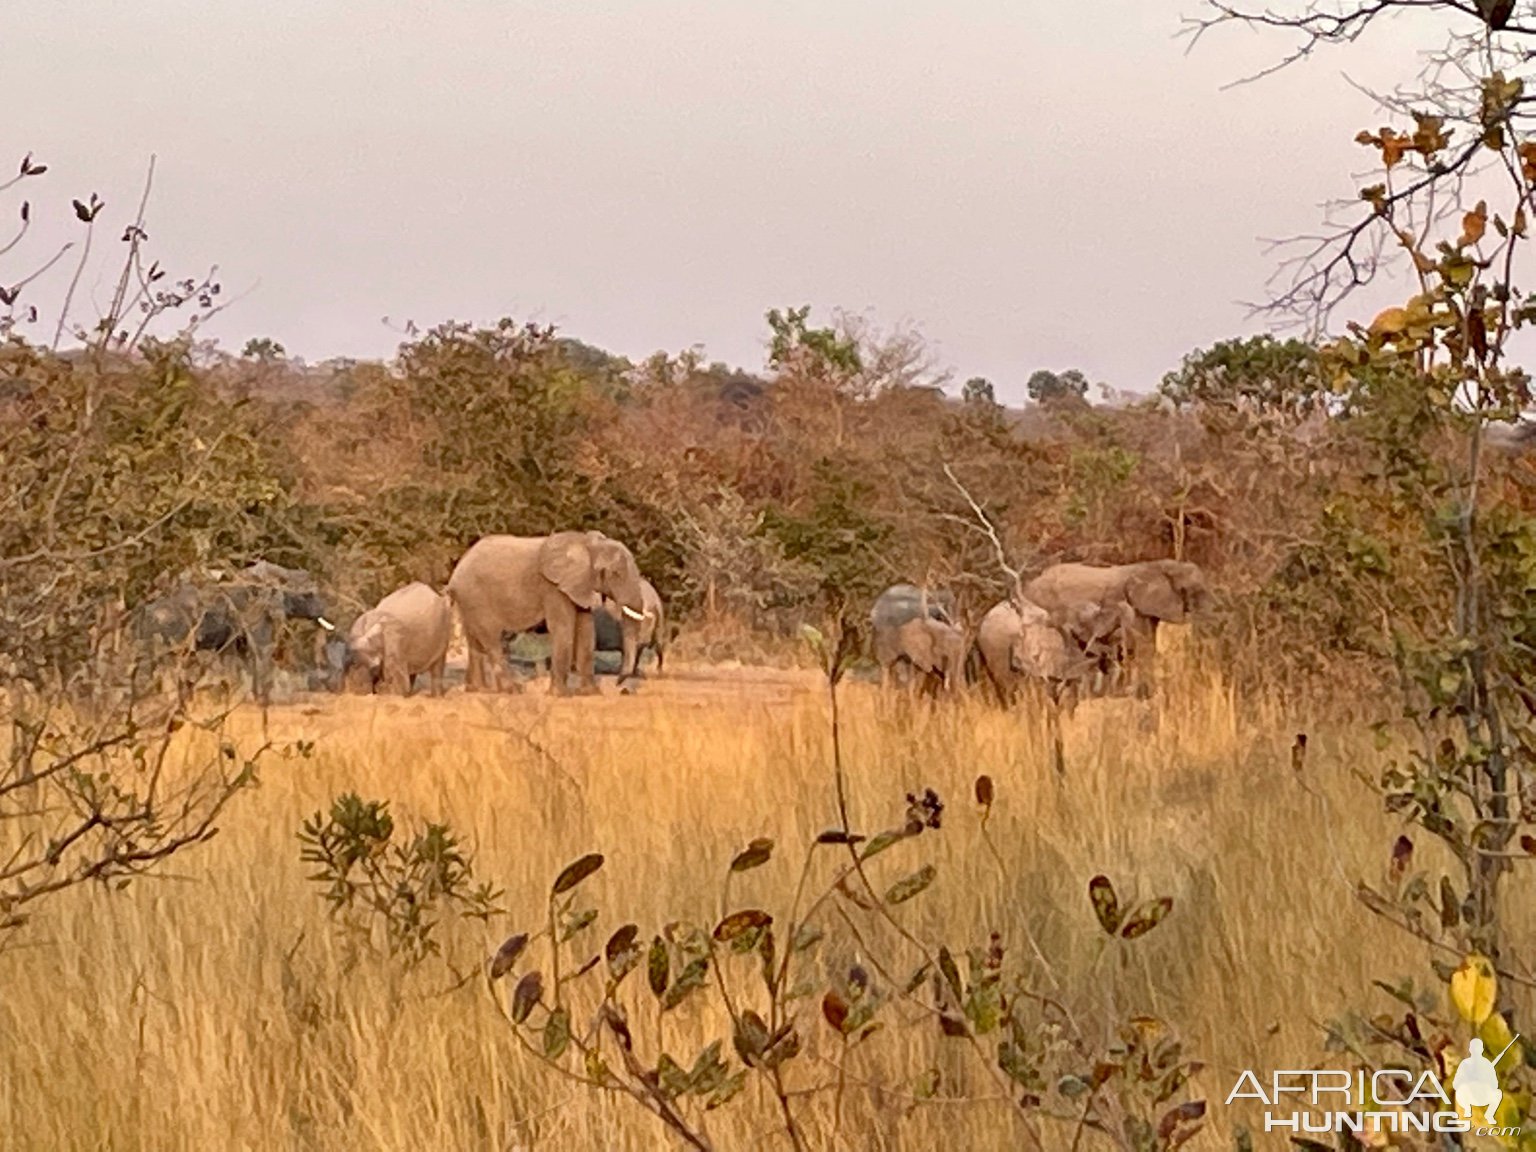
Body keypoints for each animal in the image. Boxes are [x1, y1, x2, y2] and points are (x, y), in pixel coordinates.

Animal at [448, 531, 654, 694]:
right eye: (616, 574)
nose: (620, 685)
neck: (587, 544)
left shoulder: (579, 584)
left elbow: (586, 631)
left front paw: (590, 693)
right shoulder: (553, 588)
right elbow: (564, 629)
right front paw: (561, 695)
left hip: (468, 600)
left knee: (474, 641)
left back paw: (478, 689)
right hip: (476, 596)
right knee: (491, 638)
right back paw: (512, 690)